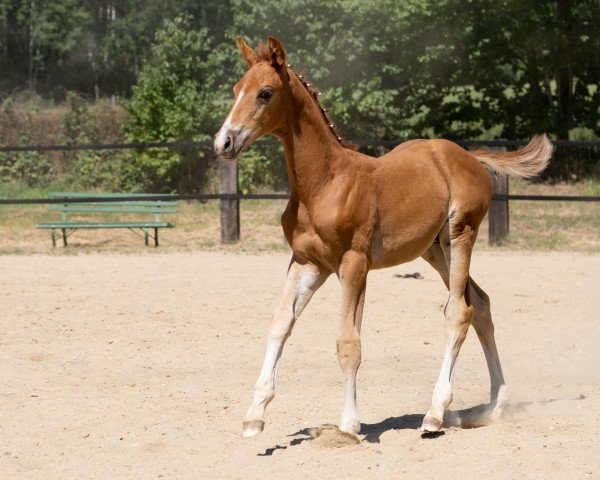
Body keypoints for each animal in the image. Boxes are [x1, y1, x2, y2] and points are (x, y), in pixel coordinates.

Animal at [213, 35, 552, 436]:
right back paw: (497, 404)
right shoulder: (308, 263)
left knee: (459, 311)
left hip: (460, 235)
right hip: (433, 250)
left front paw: (349, 423)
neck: (325, 184)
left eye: (265, 93)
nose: (223, 143)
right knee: (481, 304)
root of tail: (469, 156)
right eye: (236, 89)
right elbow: (280, 324)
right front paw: (255, 414)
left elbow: (348, 342)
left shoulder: (354, 264)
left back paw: (436, 413)